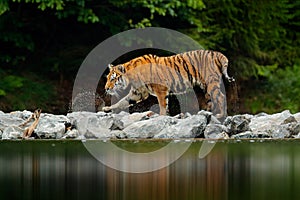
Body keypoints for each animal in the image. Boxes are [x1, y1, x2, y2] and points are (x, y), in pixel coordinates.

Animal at [103, 49, 234, 119]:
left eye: (113, 79)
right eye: (108, 78)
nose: (106, 88)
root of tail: (217, 54)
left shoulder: (160, 89)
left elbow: (162, 105)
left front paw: (161, 117)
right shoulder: (139, 92)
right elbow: (122, 101)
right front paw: (107, 108)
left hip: (211, 83)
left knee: (221, 97)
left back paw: (221, 115)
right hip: (206, 88)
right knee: (211, 101)